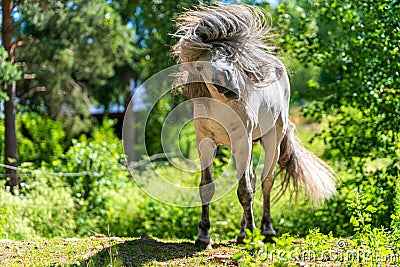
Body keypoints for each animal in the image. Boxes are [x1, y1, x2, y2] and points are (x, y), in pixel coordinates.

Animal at [172, 3, 338, 249]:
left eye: (230, 55)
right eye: (202, 65)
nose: (230, 87)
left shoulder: (243, 140)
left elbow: (245, 191)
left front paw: (252, 235)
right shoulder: (206, 142)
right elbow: (207, 187)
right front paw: (203, 237)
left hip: (271, 139)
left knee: (265, 181)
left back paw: (266, 231)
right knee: (250, 177)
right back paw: (242, 233)